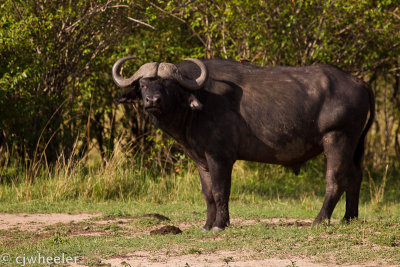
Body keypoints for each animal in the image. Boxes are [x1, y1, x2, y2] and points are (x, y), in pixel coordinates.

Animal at [111, 57, 374, 233]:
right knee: (355, 176)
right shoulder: (201, 160)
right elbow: (207, 193)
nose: (152, 101)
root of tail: (358, 82)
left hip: (338, 139)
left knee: (336, 180)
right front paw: (207, 224)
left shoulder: (220, 157)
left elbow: (220, 191)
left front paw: (219, 225)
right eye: (143, 84)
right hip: (354, 146)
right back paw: (349, 217)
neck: (198, 105)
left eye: (169, 84)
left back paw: (319, 220)